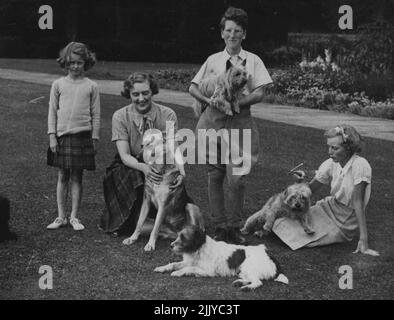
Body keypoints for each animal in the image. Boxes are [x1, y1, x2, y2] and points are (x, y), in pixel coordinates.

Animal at [155, 225, 290, 290]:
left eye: (183, 237)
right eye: (178, 235)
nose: (170, 245)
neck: (199, 249)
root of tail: (268, 254)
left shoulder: (208, 271)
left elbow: (189, 269)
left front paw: (177, 273)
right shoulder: (188, 261)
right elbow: (173, 264)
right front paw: (161, 268)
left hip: (248, 266)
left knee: (258, 282)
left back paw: (246, 288)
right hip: (243, 270)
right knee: (251, 279)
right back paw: (239, 282)